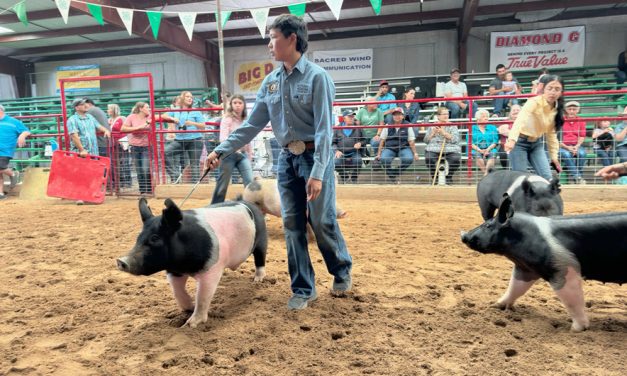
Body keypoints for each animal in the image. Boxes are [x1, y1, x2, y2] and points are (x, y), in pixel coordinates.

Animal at [118, 198, 268, 328]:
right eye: (138, 237)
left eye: (155, 238)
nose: (120, 261)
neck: (184, 267)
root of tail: (250, 204)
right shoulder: (173, 272)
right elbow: (178, 292)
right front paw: (188, 308)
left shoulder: (212, 269)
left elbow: (202, 297)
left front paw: (190, 325)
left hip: (261, 241)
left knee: (260, 260)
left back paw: (257, 281)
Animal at [462, 197, 627, 332]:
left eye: (488, 225)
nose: (463, 235)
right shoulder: (525, 268)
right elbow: (515, 288)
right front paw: (494, 305)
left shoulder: (564, 267)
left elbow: (572, 300)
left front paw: (575, 329)